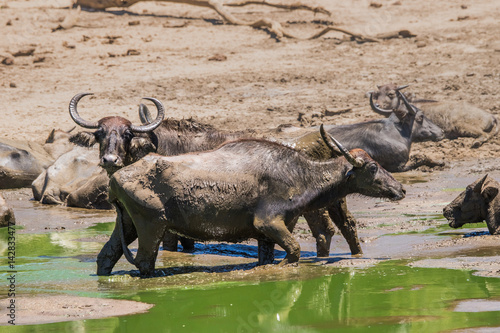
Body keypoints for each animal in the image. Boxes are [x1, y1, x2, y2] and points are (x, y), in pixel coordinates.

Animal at [97, 126, 406, 276]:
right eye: (373, 167)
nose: (400, 189)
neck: (300, 175)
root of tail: (115, 179)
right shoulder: (268, 223)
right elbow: (294, 252)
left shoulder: (268, 234)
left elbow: (271, 258)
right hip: (152, 226)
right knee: (144, 264)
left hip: (128, 224)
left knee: (106, 256)